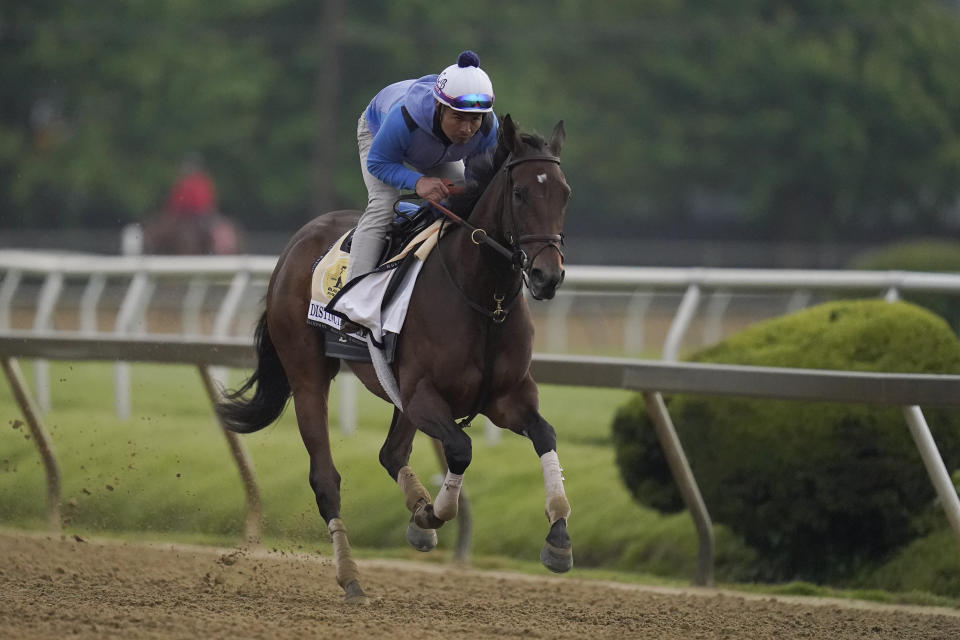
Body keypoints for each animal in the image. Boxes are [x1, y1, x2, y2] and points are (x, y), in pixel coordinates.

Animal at [218, 116, 572, 604]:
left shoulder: (506, 397)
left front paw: (558, 537)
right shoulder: (424, 396)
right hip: (308, 374)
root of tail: (297, 242)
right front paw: (431, 514)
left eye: (564, 193)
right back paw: (351, 577)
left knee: (390, 453)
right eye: (519, 193)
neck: (484, 300)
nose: (547, 275)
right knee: (326, 479)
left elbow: (545, 434)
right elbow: (461, 449)